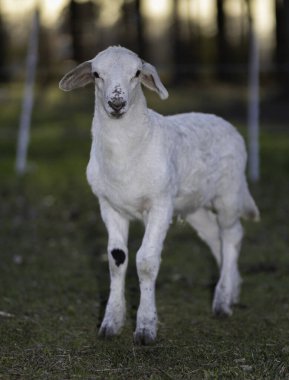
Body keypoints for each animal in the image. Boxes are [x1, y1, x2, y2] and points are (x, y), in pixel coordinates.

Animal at [59, 45, 258, 344]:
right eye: (96, 74)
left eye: (137, 73)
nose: (116, 103)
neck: (126, 155)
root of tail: (224, 122)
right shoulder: (109, 206)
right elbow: (116, 260)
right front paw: (110, 323)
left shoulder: (160, 204)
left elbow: (146, 262)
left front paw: (145, 328)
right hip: (193, 205)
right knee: (215, 238)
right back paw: (232, 290)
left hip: (229, 193)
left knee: (232, 235)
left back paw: (222, 302)